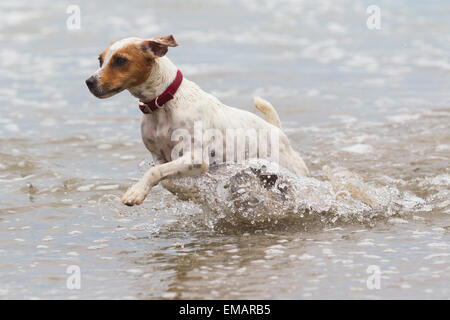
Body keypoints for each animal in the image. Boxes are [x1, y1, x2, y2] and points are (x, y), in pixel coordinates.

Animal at [85, 34, 308, 205]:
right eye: (100, 60)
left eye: (120, 60)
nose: (89, 82)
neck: (163, 104)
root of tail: (277, 130)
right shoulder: (160, 157)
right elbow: (163, 177)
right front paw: (187, 193)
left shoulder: (195, 158)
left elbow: (154, 173)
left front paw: (135, 192)